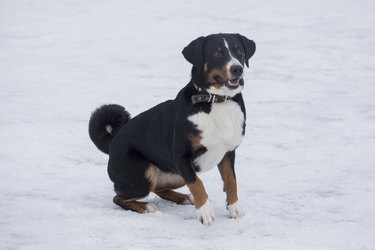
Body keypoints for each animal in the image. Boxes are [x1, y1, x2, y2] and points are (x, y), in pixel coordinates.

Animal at [89, 32, 258, 226]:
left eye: (239, 51)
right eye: (216, 53)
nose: (237, 68)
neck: (216, 102)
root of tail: (113, 142)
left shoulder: (228, 152)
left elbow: (231, 181)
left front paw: (234, 208)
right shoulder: (181, 156)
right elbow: (197, 183)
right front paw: (204, 211)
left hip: (175, 175)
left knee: (159, 188)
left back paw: (182, 197)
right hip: (144, 173)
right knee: (119, 197)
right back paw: (145, 207)